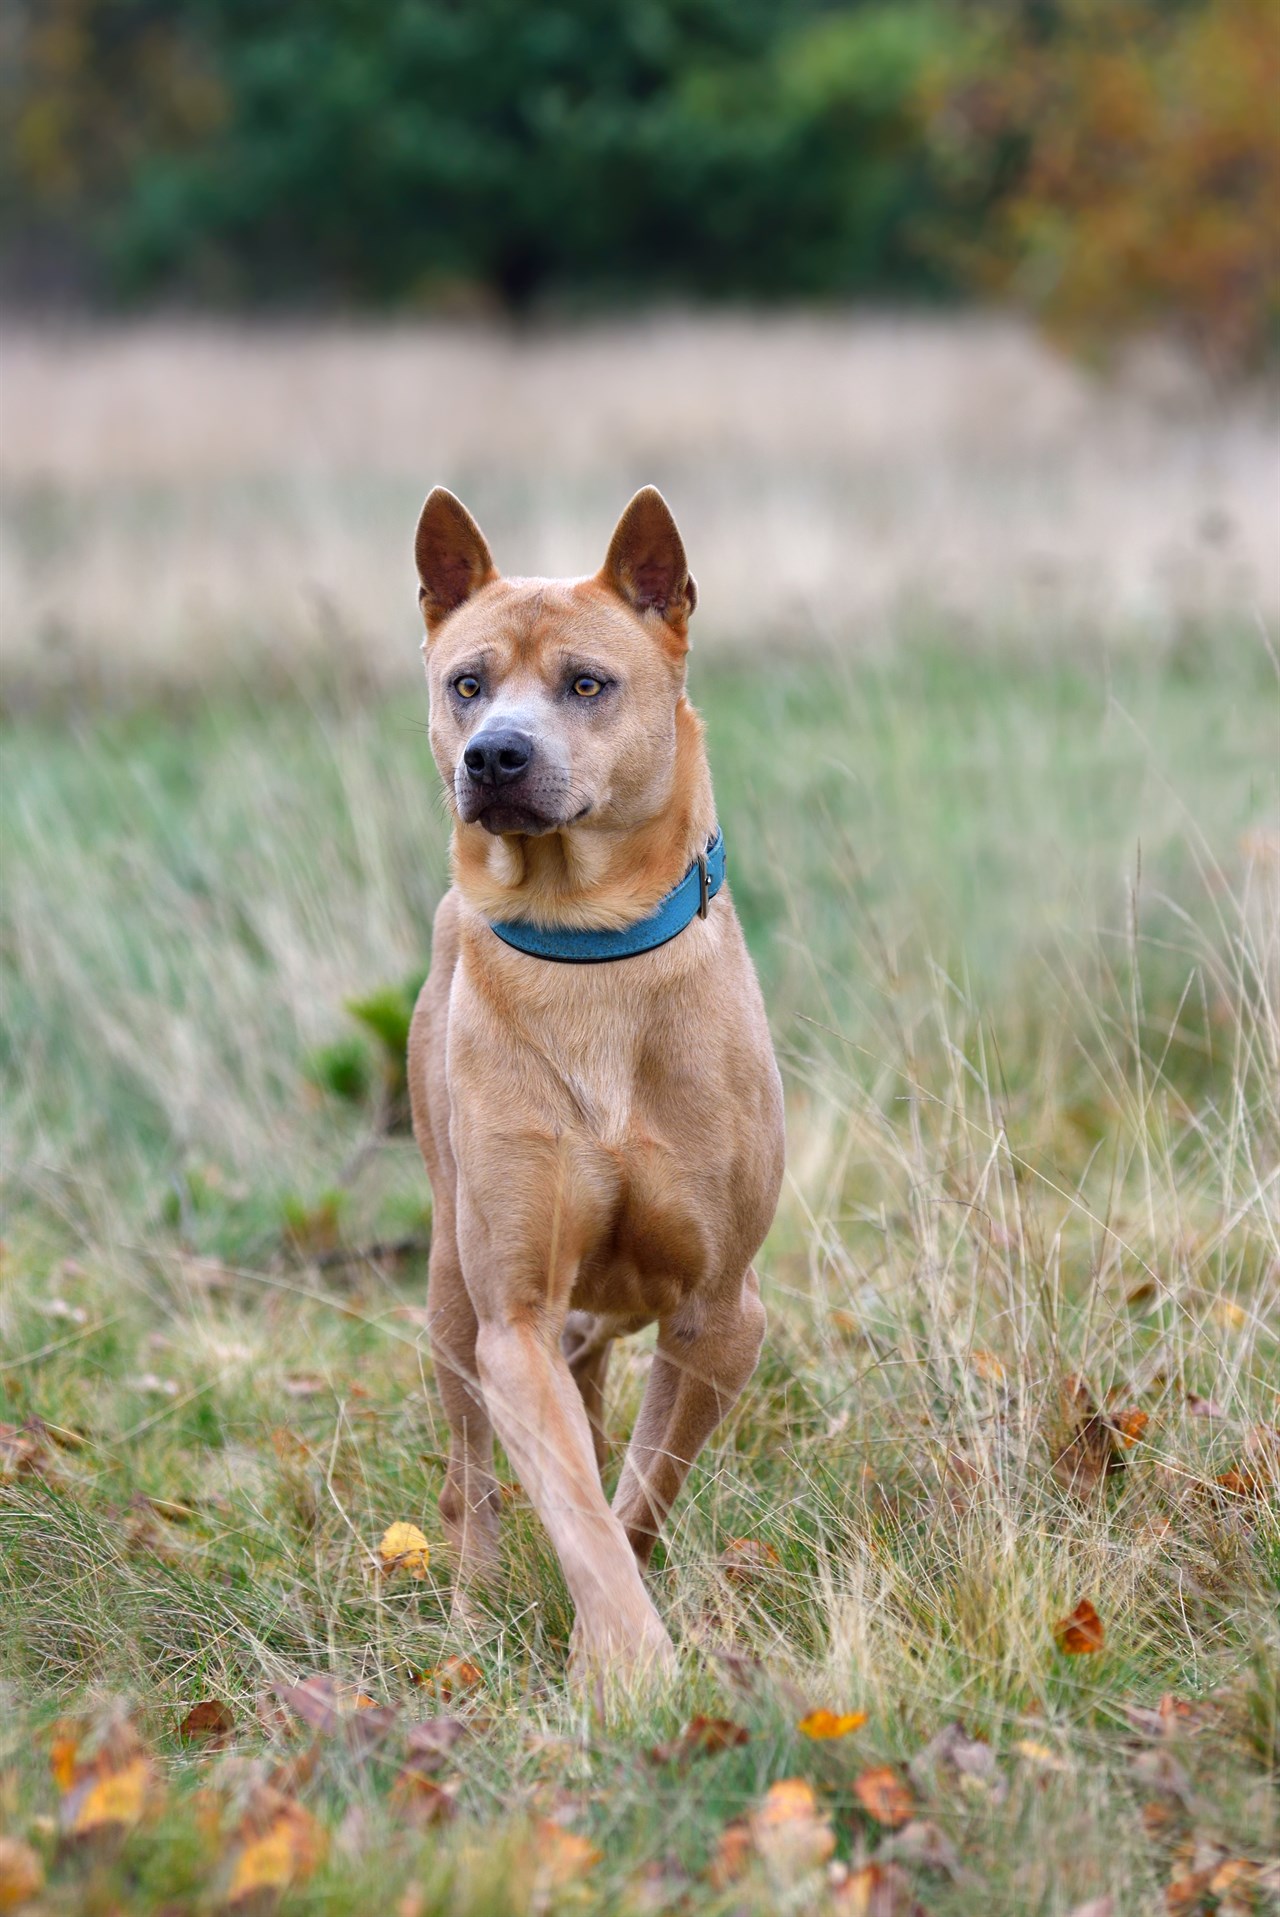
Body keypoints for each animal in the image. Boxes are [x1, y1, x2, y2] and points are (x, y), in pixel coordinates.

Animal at [410, 486, 785, 1671]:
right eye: (466, 683)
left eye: (587, 683)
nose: (493, 756)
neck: (588, 945)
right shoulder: (514, 1317)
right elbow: (577, 1505)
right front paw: (625, 1666)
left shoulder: (722, 1312)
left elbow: (644, 1490)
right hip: (450, 1286)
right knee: (470, 1472)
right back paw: (473, 1601)